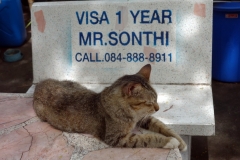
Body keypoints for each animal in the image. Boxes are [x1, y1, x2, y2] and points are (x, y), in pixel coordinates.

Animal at [33, 63, 188, 151]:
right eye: (150, 102)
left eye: (156, 98)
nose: (158, 108)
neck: (132, 114)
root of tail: (39, 84)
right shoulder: (117, 138)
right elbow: (147, 138)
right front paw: (169, 141)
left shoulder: (144, 118)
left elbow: (164, 127)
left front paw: (180, 141)